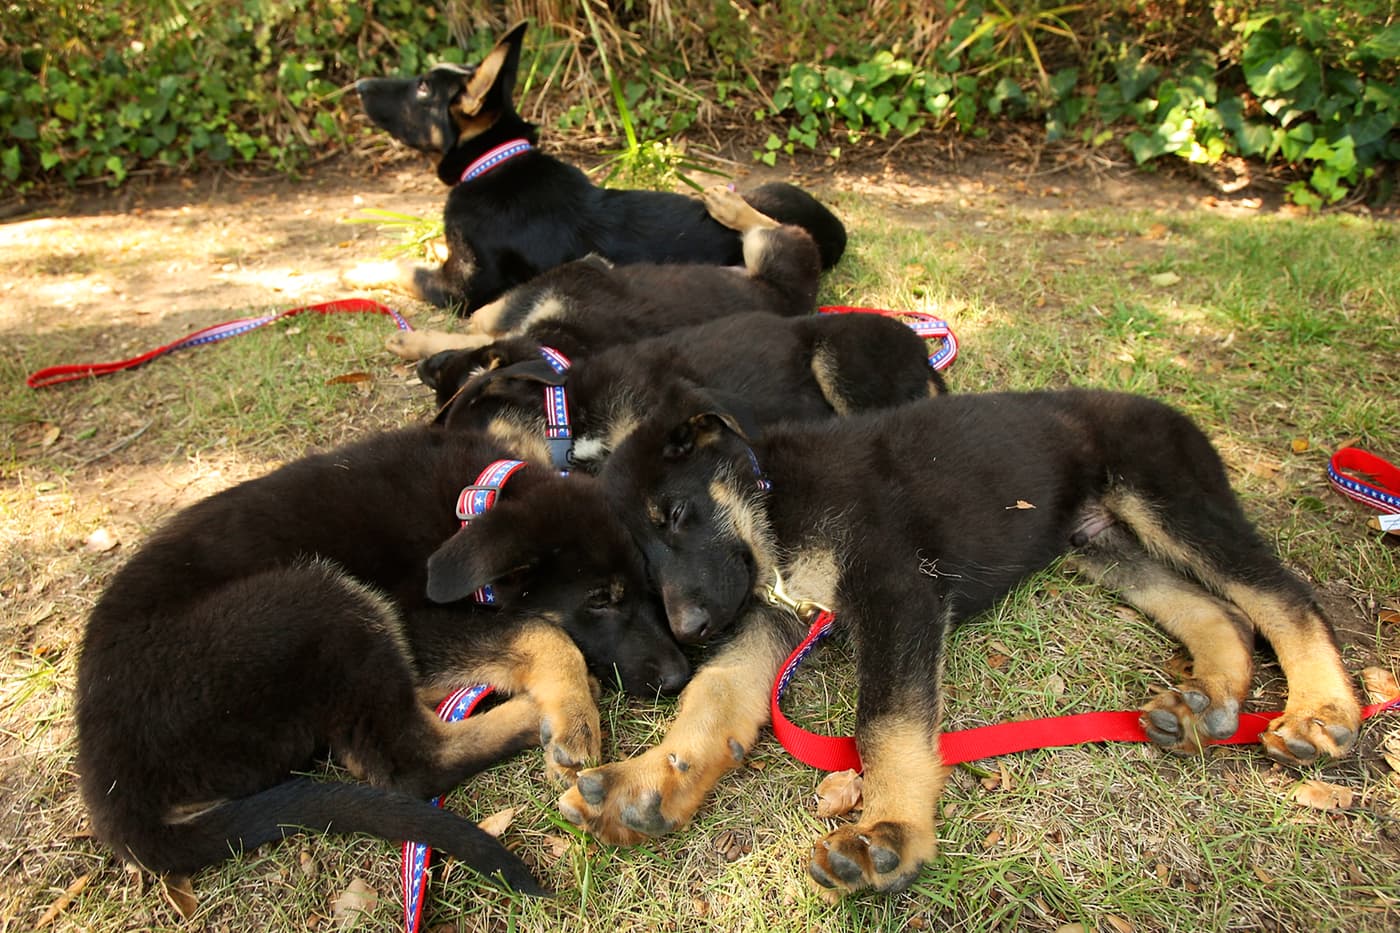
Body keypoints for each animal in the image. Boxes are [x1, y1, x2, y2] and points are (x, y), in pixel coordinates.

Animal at [76, 423, 688, 896]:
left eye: (648, 588)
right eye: (600, 600)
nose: (680, 677)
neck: (471, 501)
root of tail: (115, 795)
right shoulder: (413, 620)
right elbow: (540, 629)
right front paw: (573, 716)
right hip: (320, 598)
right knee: (409, 764)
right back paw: (529, 715)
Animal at [355, 20, 845, 312]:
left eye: (422, 88)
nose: (357, 85)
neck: (493, 161)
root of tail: (836, 229)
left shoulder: (462, 290)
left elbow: (401, 269)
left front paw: (349, 272)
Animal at [383, 184, 817, 364]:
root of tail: (804, 298)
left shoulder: (578, 272)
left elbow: (490, 316)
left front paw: (418, 340)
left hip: (772, 250)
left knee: (781, 228)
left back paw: (731, 206)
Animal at [554, 383, 1355, 896]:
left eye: (675, 513)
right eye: (638, 559)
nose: (690, 630)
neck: (773, 500)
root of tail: (1165, 407)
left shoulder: (897, 591)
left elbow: (885, 722)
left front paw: (889, 832)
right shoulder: (773, 614)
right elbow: (714, 694)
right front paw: (651, 781)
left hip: (1167, 495)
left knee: (1281, 595)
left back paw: (1322, 710)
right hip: (1097, 540)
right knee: (1218, 612)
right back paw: (1208, 700)